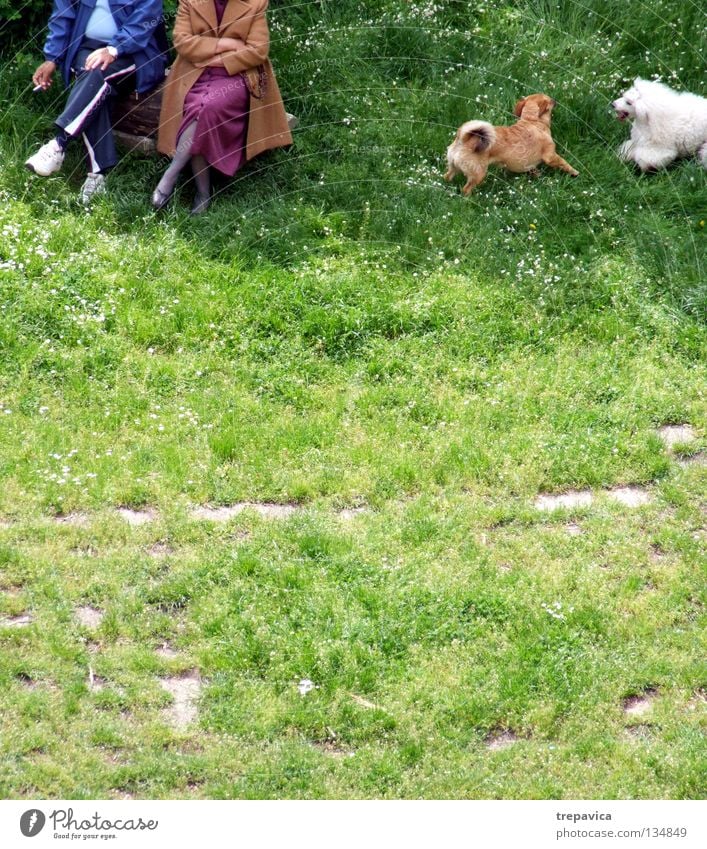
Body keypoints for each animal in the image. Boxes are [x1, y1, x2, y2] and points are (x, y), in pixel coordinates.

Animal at [446, 93, 580, 195]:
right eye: (550, 100)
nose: (555, 99)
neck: (531, 121)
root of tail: (464, 140)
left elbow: (533, 169)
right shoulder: (551, 156)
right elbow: (565, 164)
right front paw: (575, 172)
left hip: (453, 167)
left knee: (447, 177)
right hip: (478, 174)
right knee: (466, 189)